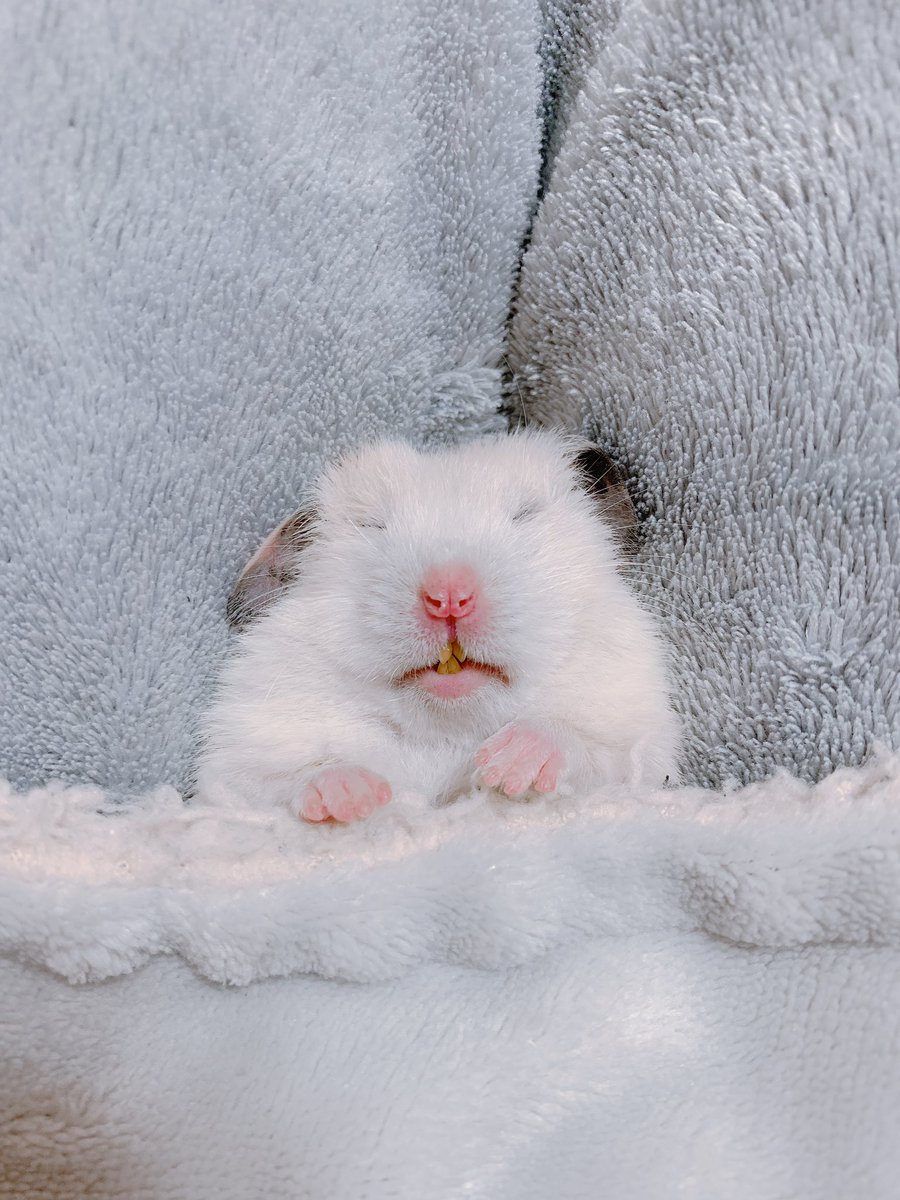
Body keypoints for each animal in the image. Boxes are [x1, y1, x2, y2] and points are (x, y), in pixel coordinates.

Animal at [196, 429, 681, 822]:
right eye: (373, 525)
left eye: (526, 513)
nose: (448, 597)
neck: (446, 731)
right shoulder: (237, 765)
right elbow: (286, 780)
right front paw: (356, 796)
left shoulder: (642, 746)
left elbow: (585, 747)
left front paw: (505, 767)